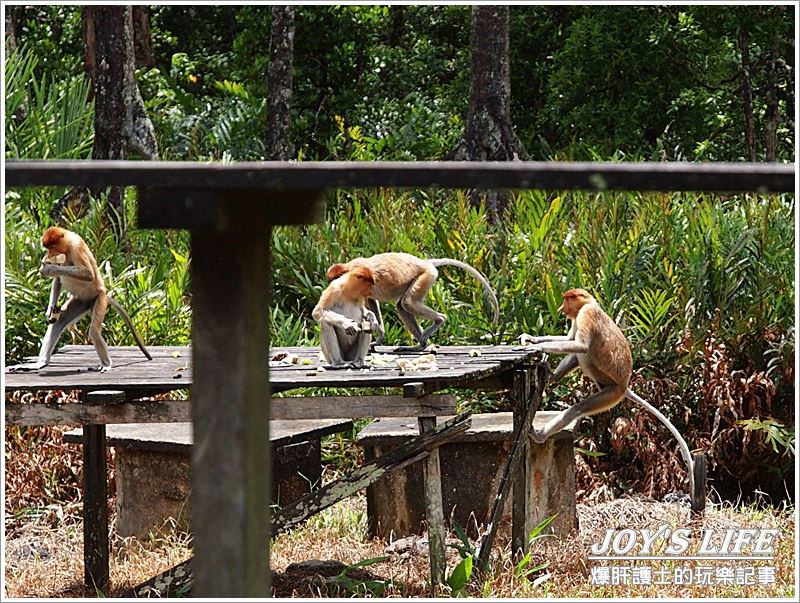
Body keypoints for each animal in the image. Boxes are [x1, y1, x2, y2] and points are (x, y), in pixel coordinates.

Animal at [326, 252, 500, 352]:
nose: (333, 287)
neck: (349, 269)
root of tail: (426, 263)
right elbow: (372, 303)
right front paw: (379, 339)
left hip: (425, 276)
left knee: (407, 303)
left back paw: (437, 323)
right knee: (402, 307)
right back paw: (420, 346)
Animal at [520, 288, 632, 444]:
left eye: (567, 299)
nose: (561, 309)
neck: (590, 303)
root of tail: (624, 383)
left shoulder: (585, 313)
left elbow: (581, 345)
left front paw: (538, 347)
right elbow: (569, 339)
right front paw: (531, 338)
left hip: (613, 393)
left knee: (578, 408)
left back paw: (539, 436)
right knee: (576, 355)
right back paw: (551, 376)